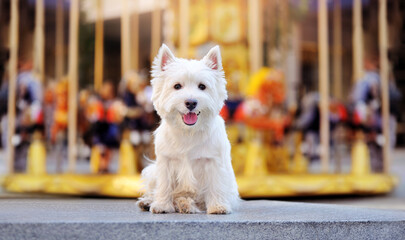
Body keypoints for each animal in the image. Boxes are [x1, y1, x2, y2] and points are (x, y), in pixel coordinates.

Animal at [138, 44, 240, 214]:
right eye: (177, 86)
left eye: (202, 86)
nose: (191, 102)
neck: (188, 132)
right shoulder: (166, 161)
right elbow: (164, 185)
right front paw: (162, 205)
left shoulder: (213, 161)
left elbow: (215, 184)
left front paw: (217, 206)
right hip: (152, 172)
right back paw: (149, 202)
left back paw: (185, 204)